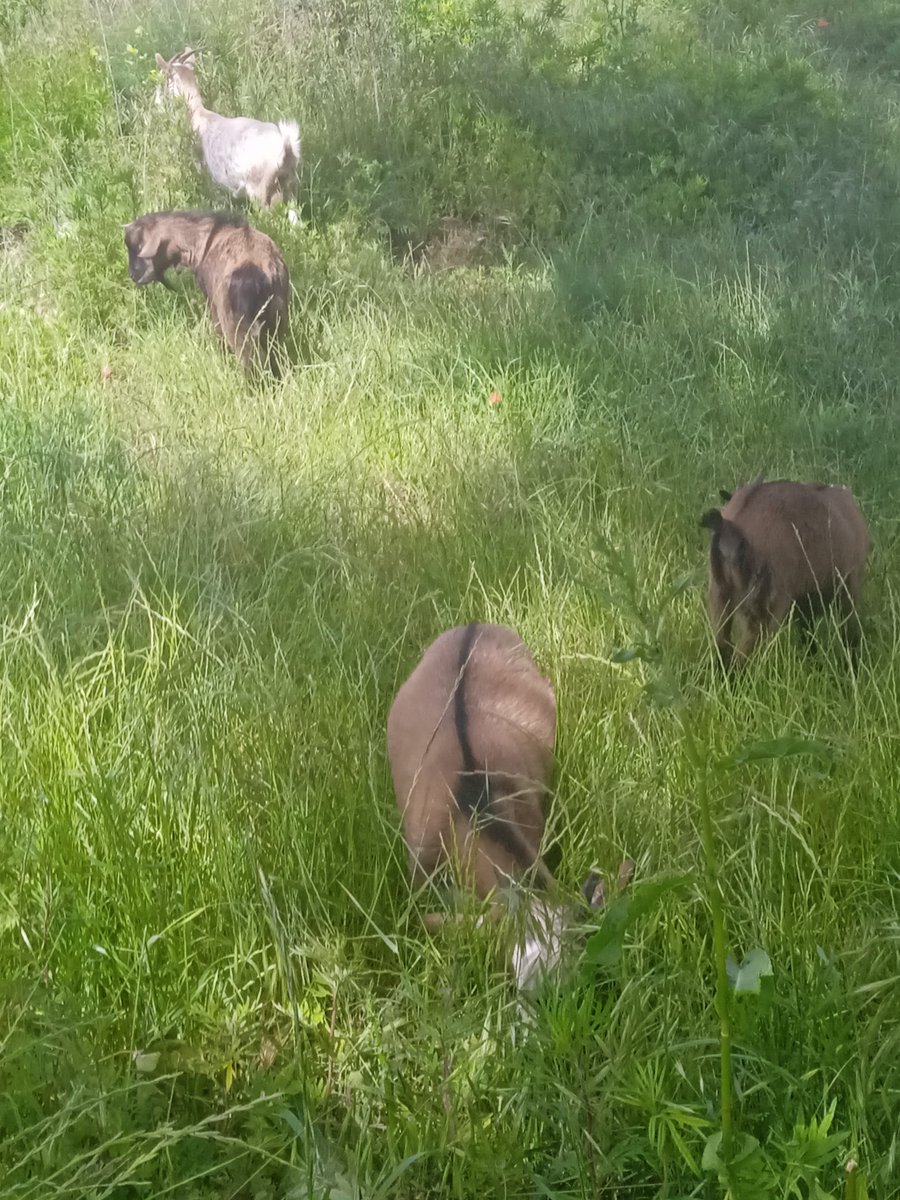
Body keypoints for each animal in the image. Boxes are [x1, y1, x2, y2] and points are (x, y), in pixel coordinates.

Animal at [123, 208, 289, 372]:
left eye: (136, 247)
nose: (131, 274)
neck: (203, 242)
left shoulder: (213, 305)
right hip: (277, 319)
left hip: (238, 327)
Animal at [157, 49, 301, 207]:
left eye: (162, 79)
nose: (156, 102)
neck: (198, 115)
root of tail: (286, 146)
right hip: (288, 187)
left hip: (261, 191)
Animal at [700, 477, 868, 667]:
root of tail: (727, 529)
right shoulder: (849, 589)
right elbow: (850, 634)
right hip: (764, 609)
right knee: (741, 657)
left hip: (720, 598)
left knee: (722, 646)